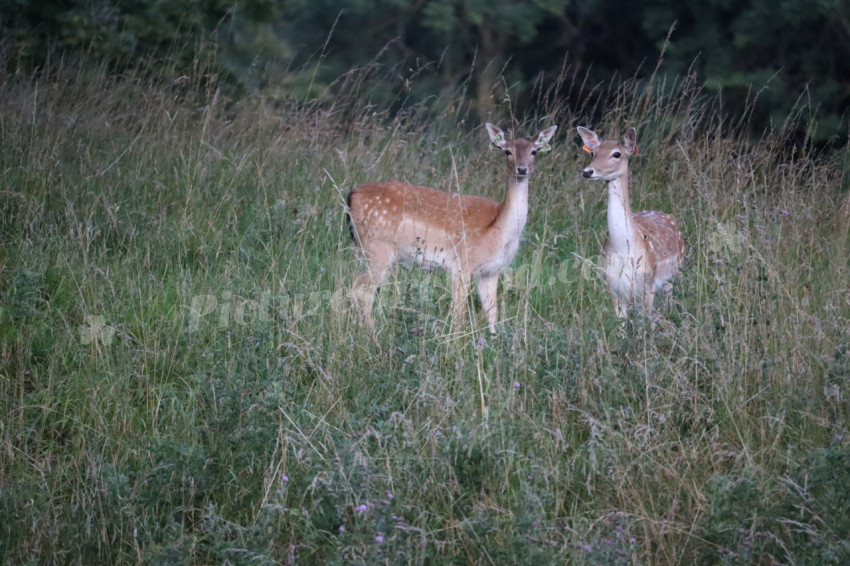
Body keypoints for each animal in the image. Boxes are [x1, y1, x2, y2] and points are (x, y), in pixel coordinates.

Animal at [344, 122, 556, 336]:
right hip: (378, 247)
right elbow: (459, 313)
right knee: (361, 288)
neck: (500, 230)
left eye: (534, 151)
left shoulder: (491, 270)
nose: (522, 169)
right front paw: (457, 341)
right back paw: (371, 334)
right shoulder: (463, 263)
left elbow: (492, 312)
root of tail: (352, 196)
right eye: (507, 151)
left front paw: (494, 340)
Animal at [572, 126, 684, 320]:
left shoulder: (648, 285)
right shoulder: (613, 286)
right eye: (593, 152)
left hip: (676, 270)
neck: (624, 249)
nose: (588, 171)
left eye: (616, 154)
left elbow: (646, 321)